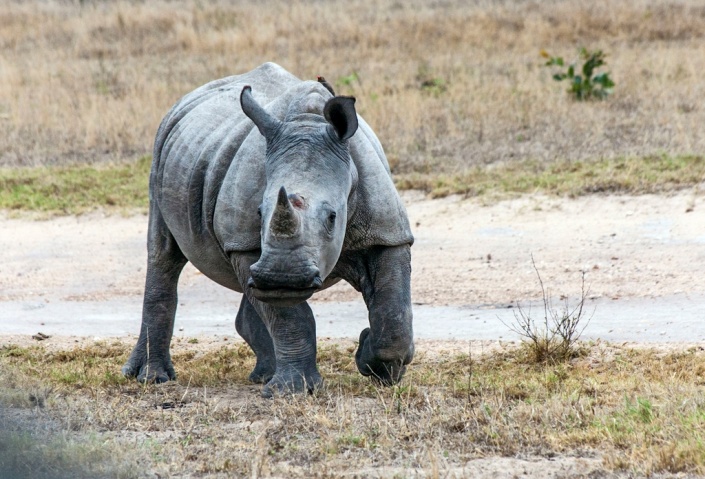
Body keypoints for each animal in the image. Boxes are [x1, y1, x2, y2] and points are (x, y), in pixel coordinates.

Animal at [122, 62, 414, 397]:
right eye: (260, 212)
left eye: (332, 217)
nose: (282, 277)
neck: (308, 124)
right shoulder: (244, 243)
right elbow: (290, 318)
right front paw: (293, 391)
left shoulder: (388, 233)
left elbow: (393, 315)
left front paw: (378, 367)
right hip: (161, 152)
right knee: (164, 255)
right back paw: (152, 378)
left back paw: (263, 374)